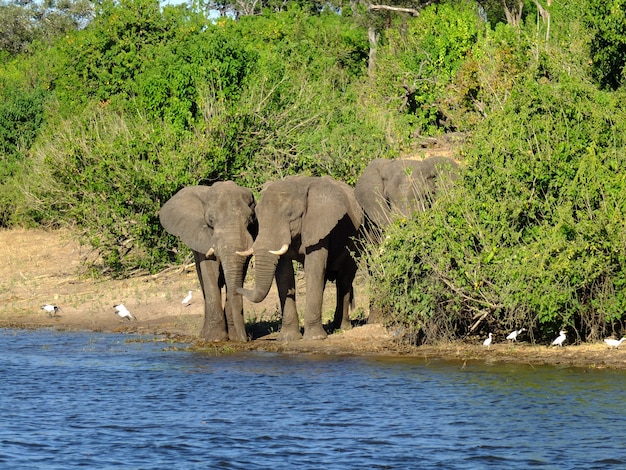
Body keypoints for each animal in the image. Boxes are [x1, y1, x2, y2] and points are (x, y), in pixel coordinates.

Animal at [158, 181, 256, 342]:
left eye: (250, 219)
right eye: (210, 220)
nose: (246, 339)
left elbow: (240, 271)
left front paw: (234, 338)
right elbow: (210, 272)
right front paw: (215, 339)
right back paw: (204, 335)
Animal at [236, 174, 364, 340]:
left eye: (291, 216)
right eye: (257, 215)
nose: (238, 288)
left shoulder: (318, 227)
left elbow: (313, 269)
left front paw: (315, 338)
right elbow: (284, 274)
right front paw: (288, 338)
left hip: (358, 238)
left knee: (344, 279)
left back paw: (341, 328)